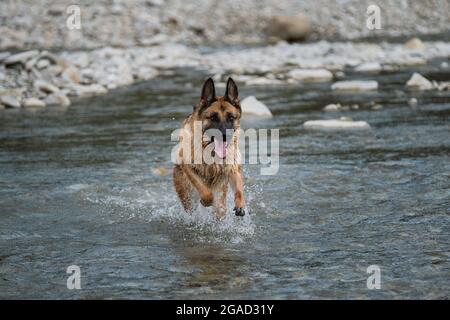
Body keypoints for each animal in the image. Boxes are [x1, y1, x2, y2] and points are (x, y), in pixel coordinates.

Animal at [174, 77, 246, 220]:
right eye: (213, 117)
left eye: (231, 117)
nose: (225, 136)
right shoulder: (188, 166)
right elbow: (202, 188)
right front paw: (206, 200)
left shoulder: (232, 169)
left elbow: (239, 188)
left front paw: (240, 204)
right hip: (186, 196)